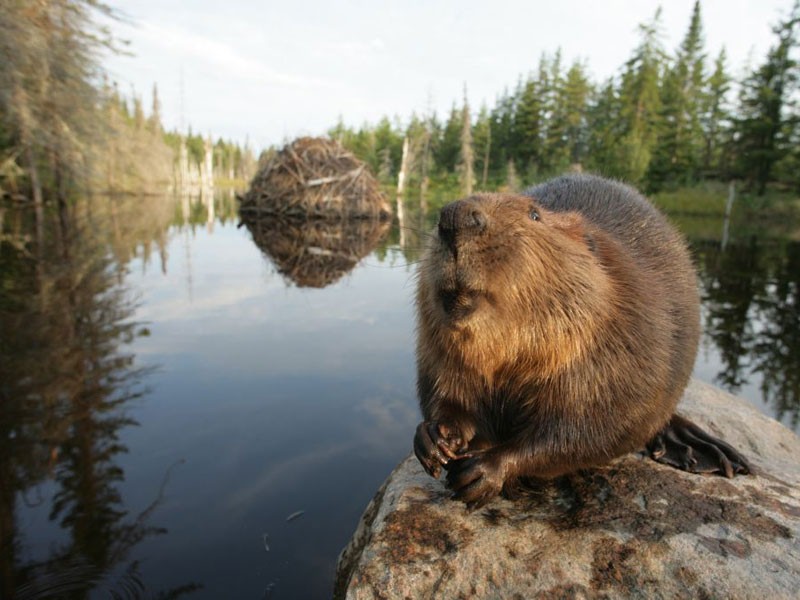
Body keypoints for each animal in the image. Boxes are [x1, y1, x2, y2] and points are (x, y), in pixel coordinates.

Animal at [412, 173, 752, 510]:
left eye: (534, 214)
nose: (455, 217)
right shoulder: (438, 350)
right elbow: (445, 393)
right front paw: (435, 438)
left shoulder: (623, 346)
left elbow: (589, 429)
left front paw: (485, 471)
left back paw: (705, 451)